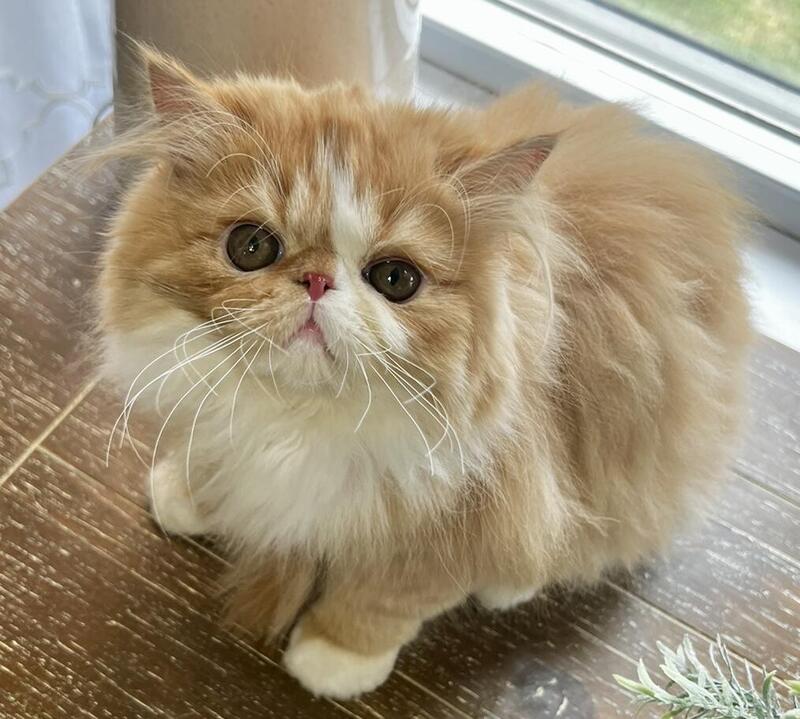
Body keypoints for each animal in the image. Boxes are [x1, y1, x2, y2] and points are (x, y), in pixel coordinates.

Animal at [98, 47, 752, 699]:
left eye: (395, 279)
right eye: (251, 246)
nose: (317, 281)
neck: (297, 415)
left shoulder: (462, 518)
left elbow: (382, 599)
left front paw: (332, 660)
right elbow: (209, 458)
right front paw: (186, 495)